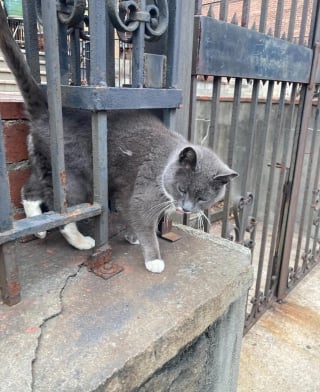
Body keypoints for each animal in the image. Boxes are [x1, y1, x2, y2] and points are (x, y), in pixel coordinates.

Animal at [0, 3, 238, 272]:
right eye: (181, 188)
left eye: (203, 198)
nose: (184, 208)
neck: (167, 164)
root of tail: (47, 112)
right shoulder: (144, 192)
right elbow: (143, 219)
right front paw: (154, 259)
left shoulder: (127, 188)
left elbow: (130, 212)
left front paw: (132, 236)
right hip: (74, 173)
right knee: (65, 211)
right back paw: (81, 241)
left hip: (45, 163)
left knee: (29, 189)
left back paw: (38, 229)